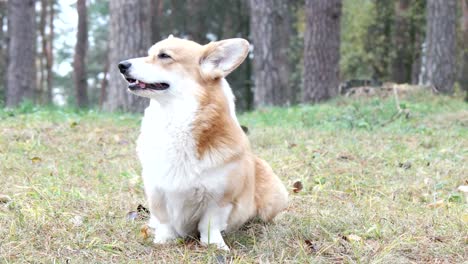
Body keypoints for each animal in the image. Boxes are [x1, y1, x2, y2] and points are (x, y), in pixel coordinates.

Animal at [117, 36, 288, 251]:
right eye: (150, 53)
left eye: (164, 56)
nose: (121, 65)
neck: (175, 120)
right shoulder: (156, 191)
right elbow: (164, 220)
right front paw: (163, 240)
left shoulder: (220, 197)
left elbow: (210, 223)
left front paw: (215, 245)